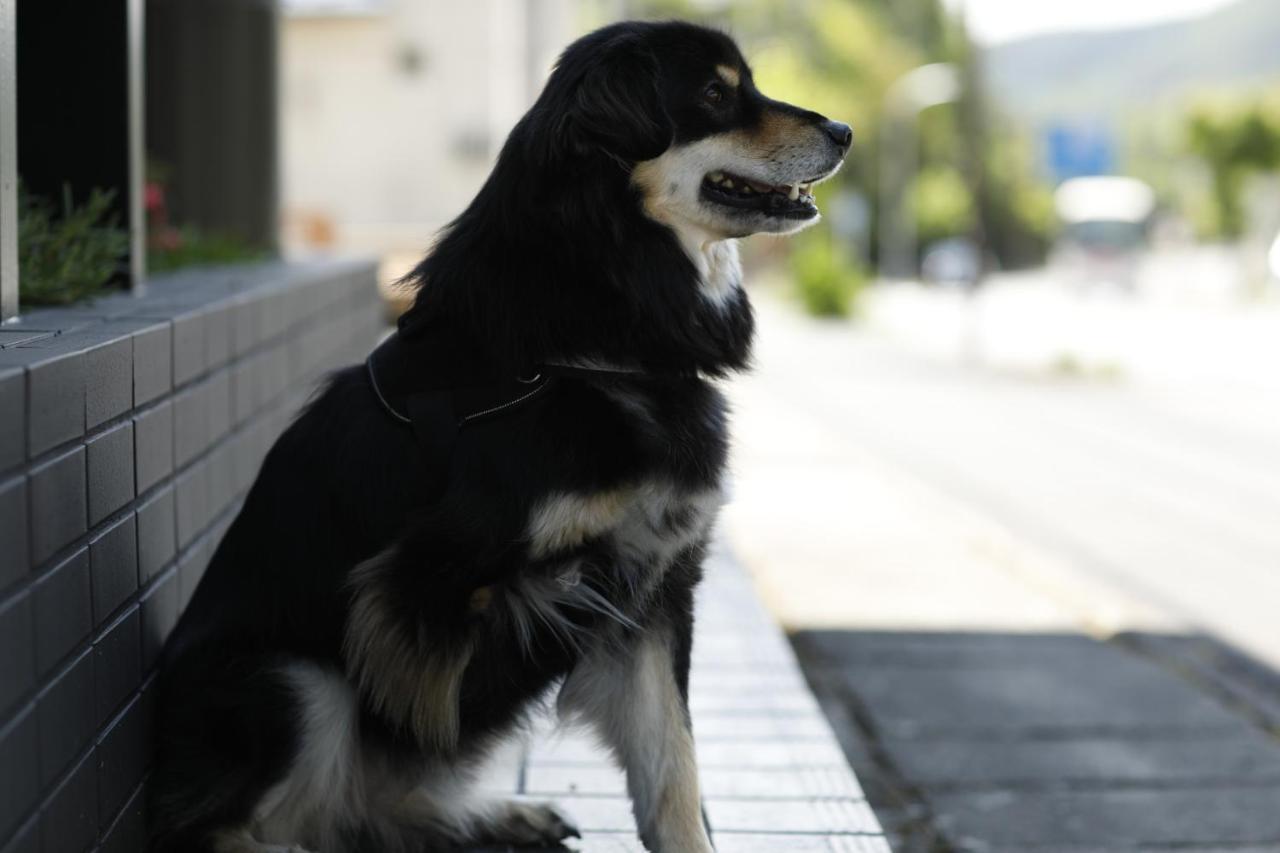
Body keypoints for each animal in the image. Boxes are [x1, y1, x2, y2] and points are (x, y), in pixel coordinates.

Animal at [149, 19, 849, 850]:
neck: (583, 348)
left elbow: (672, 767)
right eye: (715, 92)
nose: (844, 130)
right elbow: (429, 717)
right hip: (295, 680)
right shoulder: (420, 583)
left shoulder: (652, 583)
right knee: (242, 822)